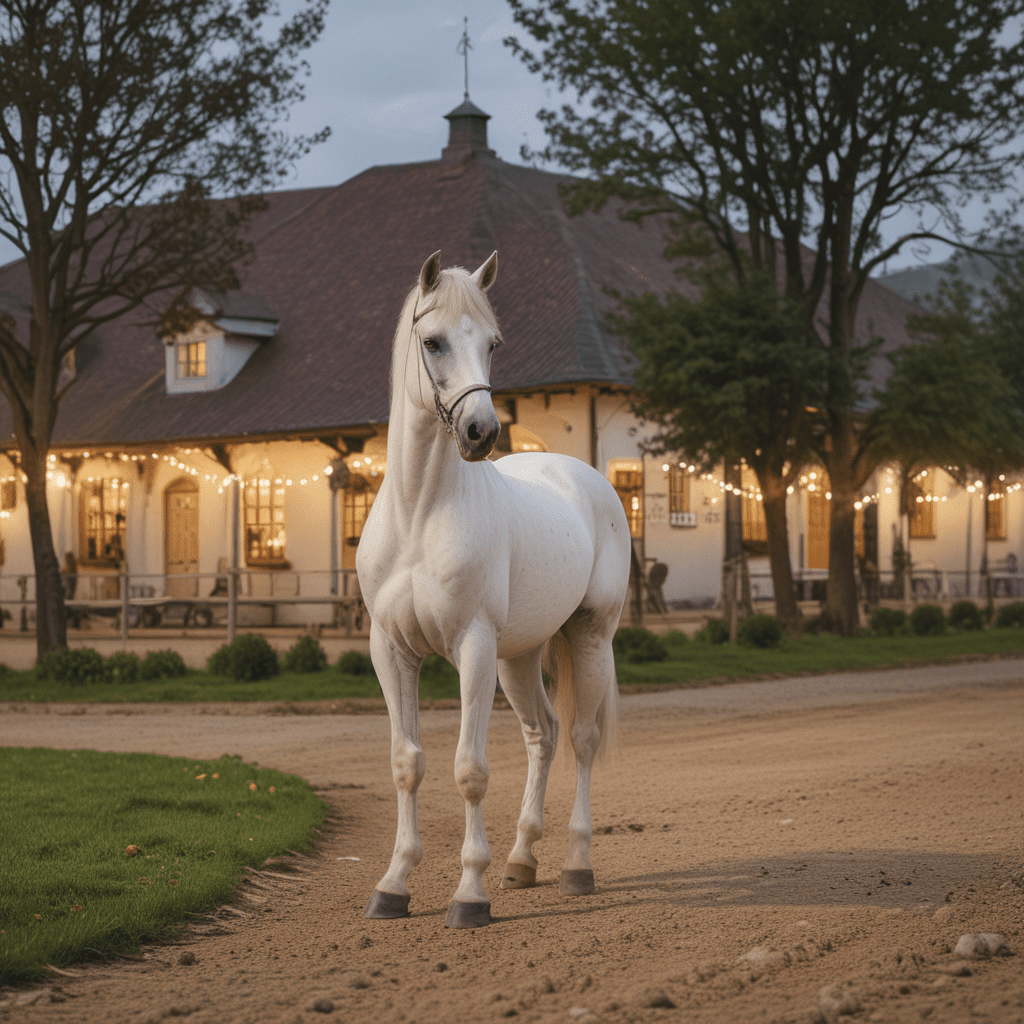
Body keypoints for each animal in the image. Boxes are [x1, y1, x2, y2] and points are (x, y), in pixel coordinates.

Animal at [358, 249, 630, 929]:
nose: (481, 432)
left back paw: (575, 867)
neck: (419, 514)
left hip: (590, 637)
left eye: (492, 343)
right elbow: (408, 764)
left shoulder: (473, 649)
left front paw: (468, 895)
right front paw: (393, 885)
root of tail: (585, 476)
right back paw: (521, 860)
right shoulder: (391, 652)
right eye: (433, 341)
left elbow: (470, 770)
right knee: (543, 736)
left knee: (581, 741)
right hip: (520, 657)